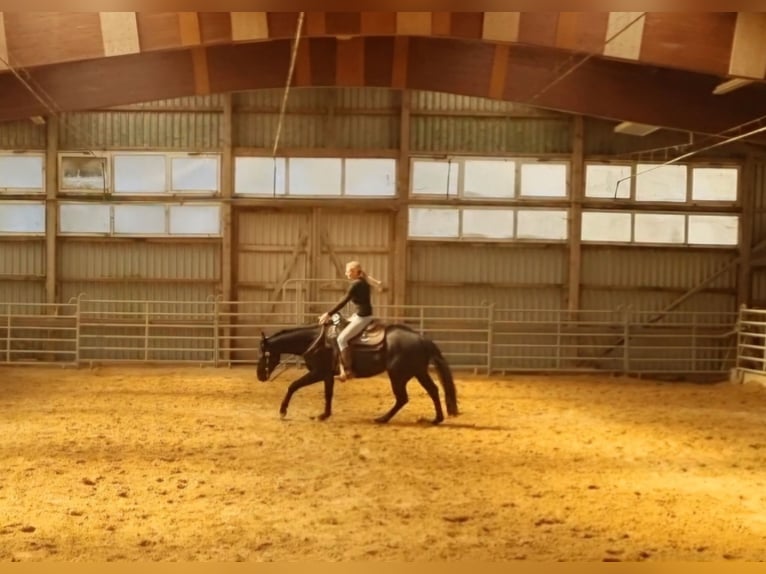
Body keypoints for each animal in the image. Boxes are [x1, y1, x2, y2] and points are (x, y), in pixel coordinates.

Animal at [256, 316, 459, 425]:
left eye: (264, 354)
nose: (259, 376)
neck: (315, 341)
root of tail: (422, 339)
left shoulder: (317, 373)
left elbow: (293, 386)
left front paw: (283, 411)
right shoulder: (327, 375)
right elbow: (328, 394)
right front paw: (324, 415)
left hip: (398, 376)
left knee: (403, 398)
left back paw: (382, 419)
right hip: (418, 372)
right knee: (433, 390)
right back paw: (437, 419)